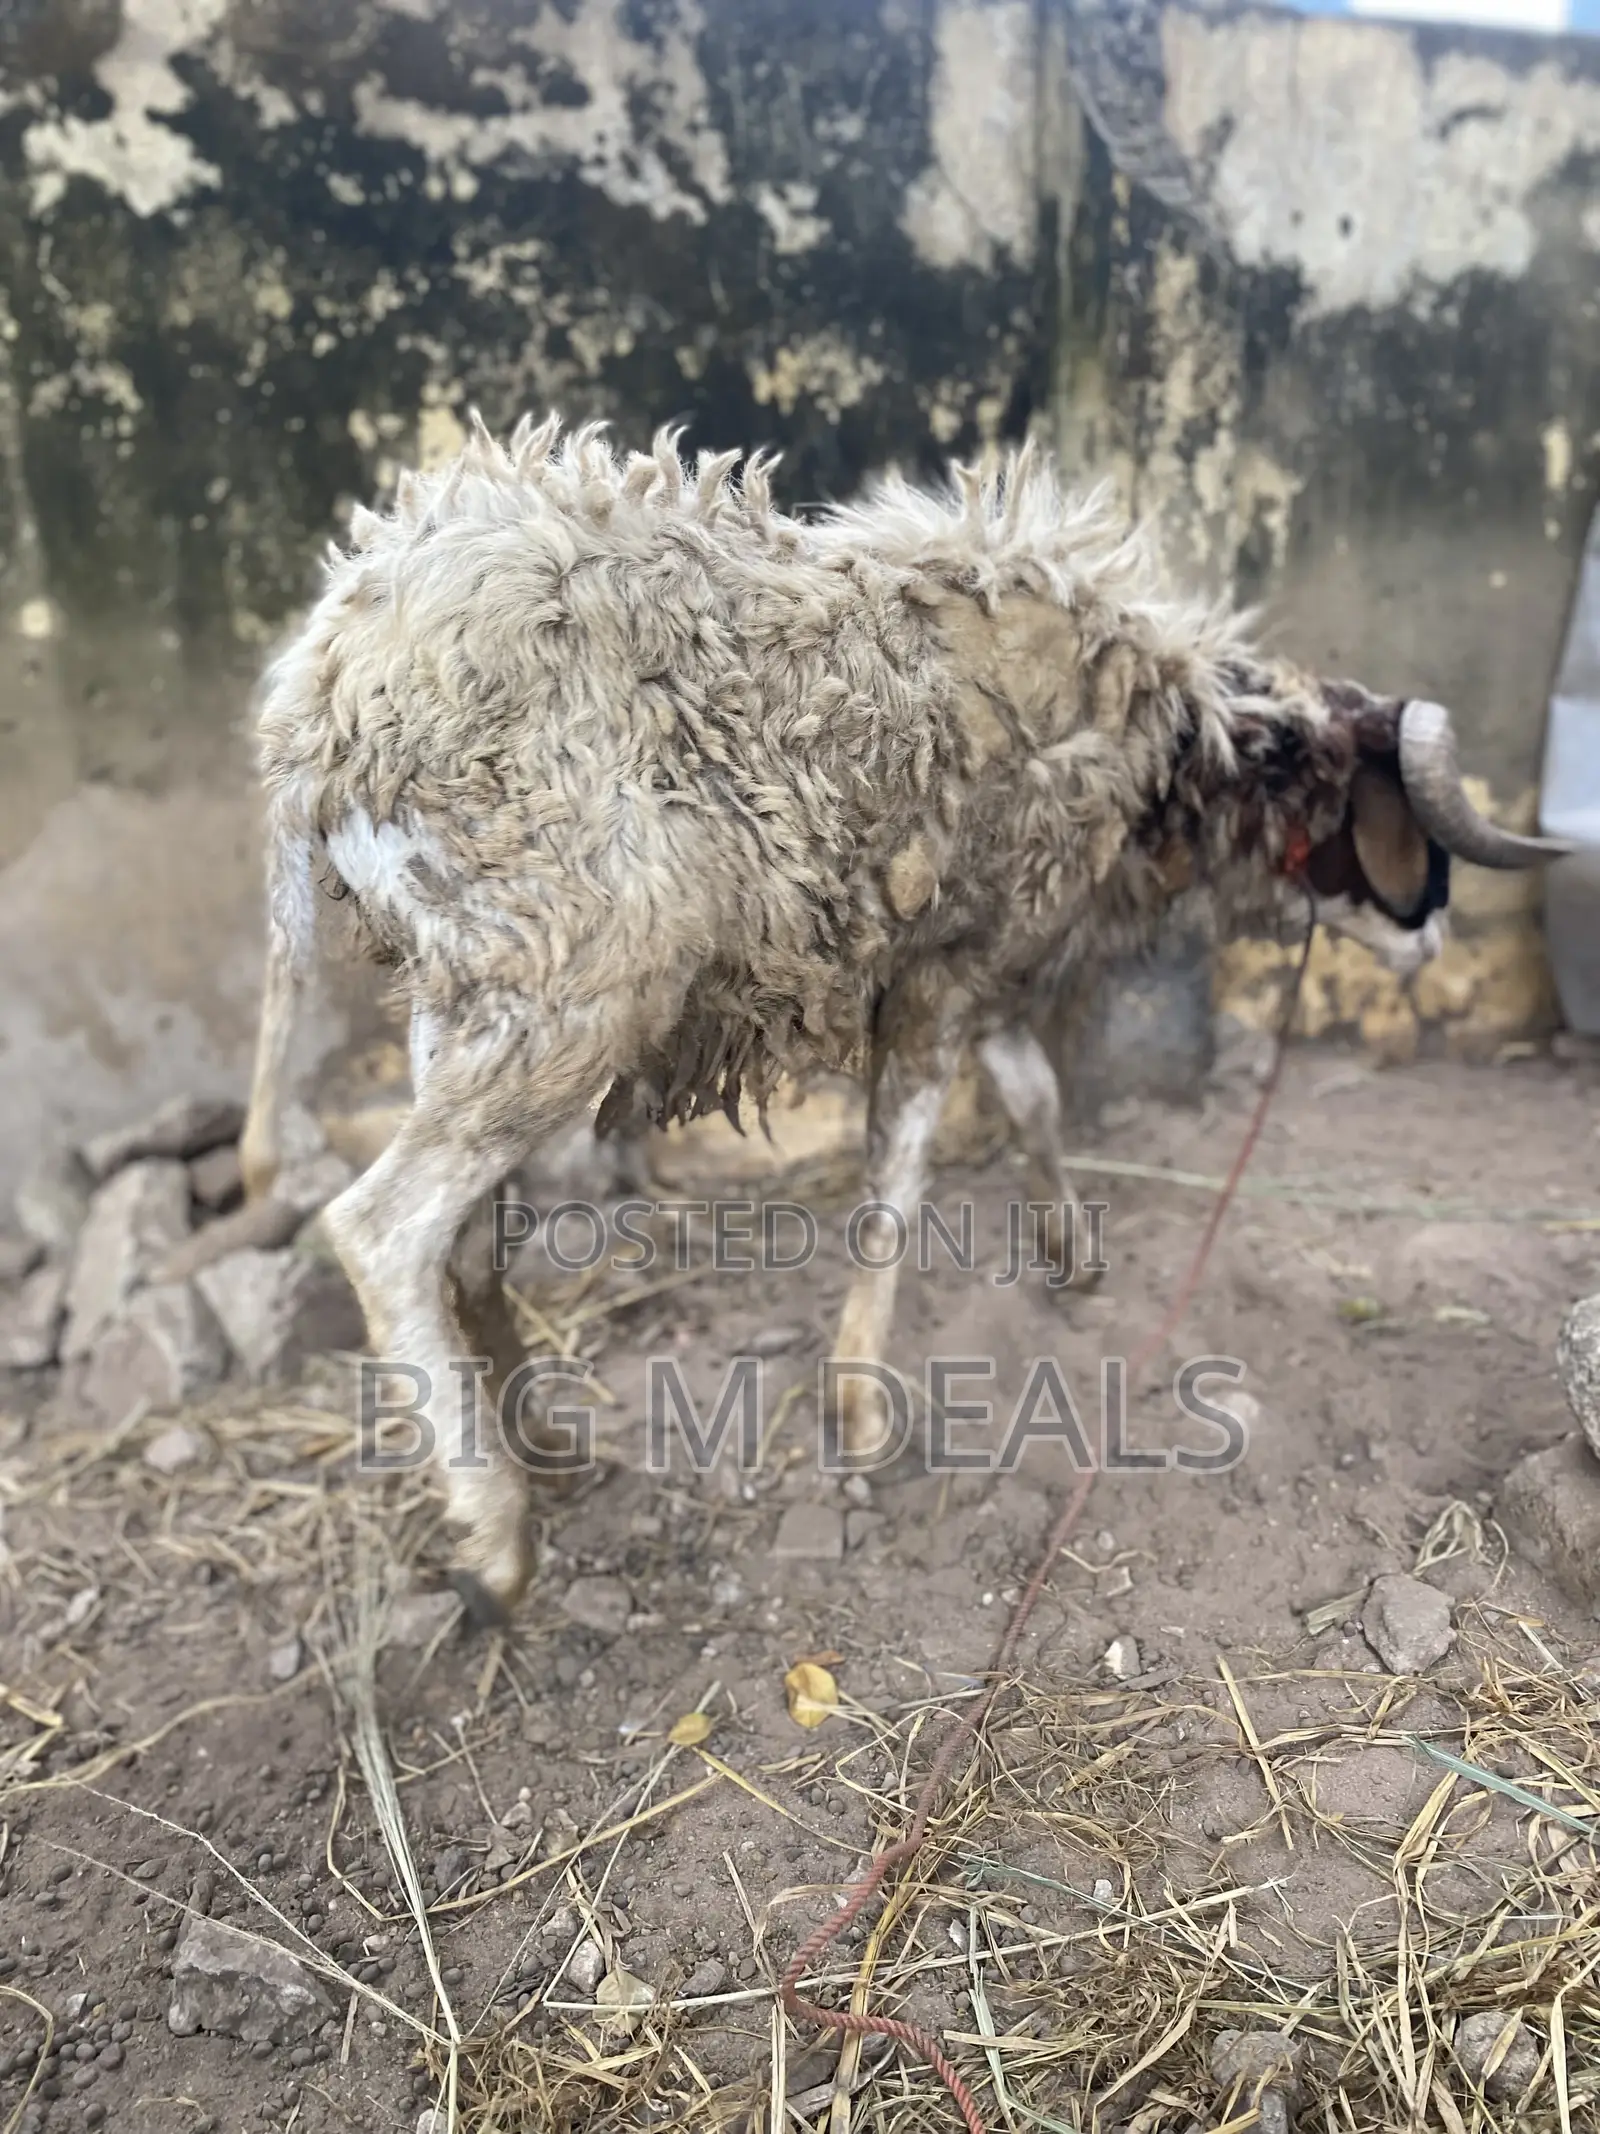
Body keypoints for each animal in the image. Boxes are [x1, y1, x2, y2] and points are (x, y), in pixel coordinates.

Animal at [237, 412, 1568, 1623]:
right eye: (1376, 807)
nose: (1430, 936)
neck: (1166, 735)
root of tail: (323, 705)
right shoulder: (940, 973)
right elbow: (898, 1177)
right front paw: (861, 1405)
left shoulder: (982, 950)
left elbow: (1032, 1092)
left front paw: (1070, 1255)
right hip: (569, 981)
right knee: (385, 1229)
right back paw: (498, 1538)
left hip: (457, 992)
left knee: (467, 1241)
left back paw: (546, 1454)